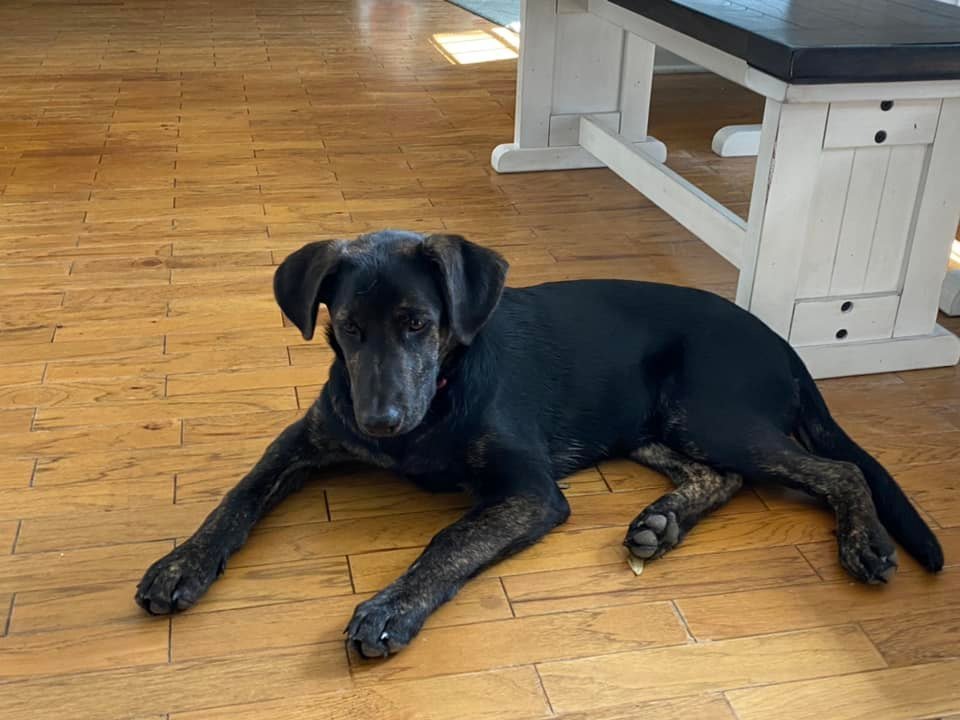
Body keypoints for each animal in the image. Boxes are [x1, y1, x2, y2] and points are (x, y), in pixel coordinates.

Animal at [136, 230, 944, 658]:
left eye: (419, 324)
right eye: (349, 328)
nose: (381, 423)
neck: (441, 395)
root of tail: (782, 341)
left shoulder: (529, 491)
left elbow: (451, 540)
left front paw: (393, 607)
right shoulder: (306, 439)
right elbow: (238, 497)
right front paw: (181, 563)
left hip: (707, 411)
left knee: (836, 469)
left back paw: (864, 543)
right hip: (650, 426)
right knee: (724, 477)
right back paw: (662, 522)